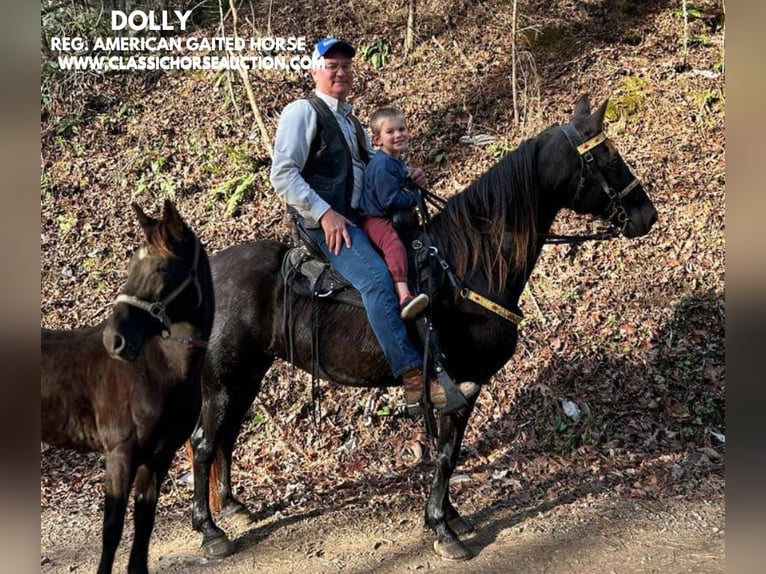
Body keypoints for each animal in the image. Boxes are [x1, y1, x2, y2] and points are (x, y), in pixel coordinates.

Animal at [41, 199, 214, 574]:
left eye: (162, 268)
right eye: (131, 265)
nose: (115, 340)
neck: (157, 369)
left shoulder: (159, 456)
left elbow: (143, 524)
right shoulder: (120, 454)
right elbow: (113, 528)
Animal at [188, 94, 660, 564]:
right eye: (606, 155)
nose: (648, 216)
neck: (467, 265)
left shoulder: (463, 386)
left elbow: (450, 452)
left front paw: (452, 516)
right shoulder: (462, 383)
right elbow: (447, 456)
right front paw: (441, 527)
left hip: (246, 376)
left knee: (226, 438)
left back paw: (232, 506)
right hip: (223, 380)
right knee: (204, 443)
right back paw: (210, 531)